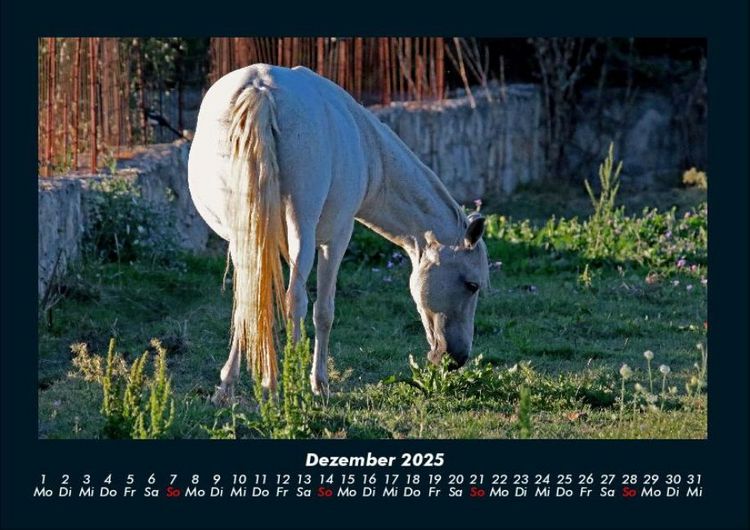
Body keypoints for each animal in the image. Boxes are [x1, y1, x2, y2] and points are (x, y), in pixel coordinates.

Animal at [188, 64, 489, 403]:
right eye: (472, 285)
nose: (457, 358)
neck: (369, 150)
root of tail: (261, 89)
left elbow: (250, 302)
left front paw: (228, 385)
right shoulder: (336, 239)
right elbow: (323, 311)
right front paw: (319, 384)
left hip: (246, 234)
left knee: (249, 300)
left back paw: (235, 387)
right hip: (302, 232)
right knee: (296, 300)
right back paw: (287, 387)